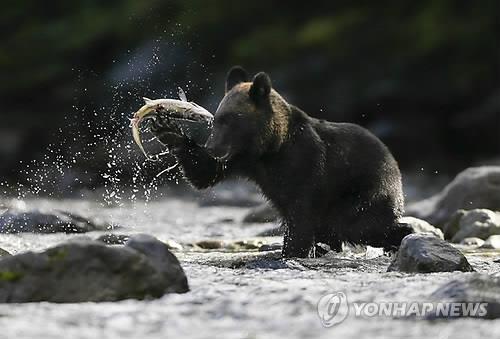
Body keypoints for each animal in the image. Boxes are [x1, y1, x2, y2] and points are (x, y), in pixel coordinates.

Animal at [150, 66, 412, 258]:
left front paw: (291, 252)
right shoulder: (242, 161)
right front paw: (167, 128)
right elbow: (205, 173)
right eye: (216, 121)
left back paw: (400, 237)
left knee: (358, 224)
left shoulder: (306, 166)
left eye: (231, 120)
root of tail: (393, 161)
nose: (213, 148)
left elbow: (301, 216)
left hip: (362, 191)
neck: (270, 148)